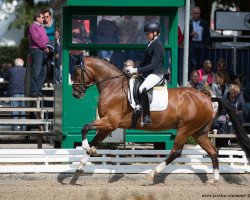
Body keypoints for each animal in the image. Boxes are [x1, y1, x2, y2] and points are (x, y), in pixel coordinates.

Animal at [72, 56, 250, 184]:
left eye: (76, 73)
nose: (75, 94)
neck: (113, 86)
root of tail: (208, 98)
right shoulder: (108, 125)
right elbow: (95, 141)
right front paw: (81, 166)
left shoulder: (110, 121)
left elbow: (85, 127)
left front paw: (85, 147)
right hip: (199, 133)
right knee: (213, 151)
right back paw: (215, 179)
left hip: (185, 129)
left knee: (176, 152)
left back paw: (152, 174)